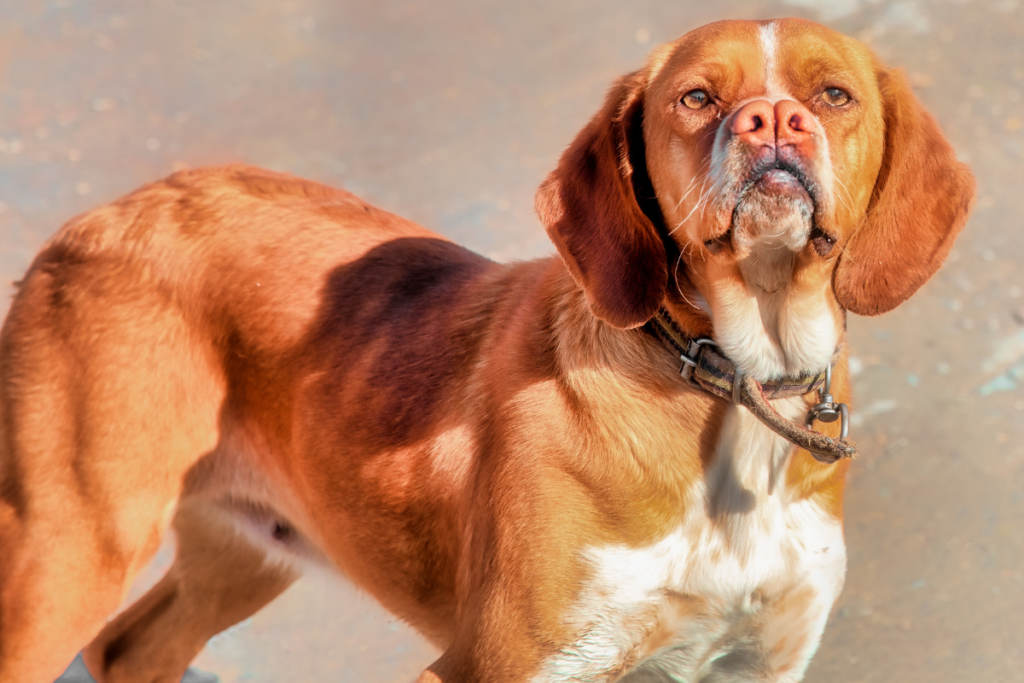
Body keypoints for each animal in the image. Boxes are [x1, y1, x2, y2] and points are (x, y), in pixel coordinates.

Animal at [0, 15, 974, 683]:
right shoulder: (503, 665)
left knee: (132, 647)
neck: (731, 380)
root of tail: (97, 218)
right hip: (70, 547)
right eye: (697, 98)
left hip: (242, 550)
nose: (772, 121)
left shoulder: (756, 660)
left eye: (834, 96)